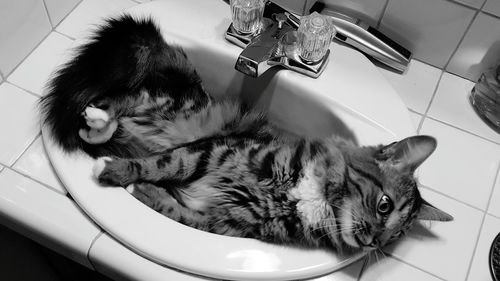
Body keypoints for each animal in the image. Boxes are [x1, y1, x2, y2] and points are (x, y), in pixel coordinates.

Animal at [40, 14, 454, 252]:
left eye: (396, 236)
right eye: (384, 205)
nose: (373, 244)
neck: (307, 198)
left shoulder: (222, 224)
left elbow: (173, 209)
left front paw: (143, 192)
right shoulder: (210, 151)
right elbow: (160, 164)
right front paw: (114, 173)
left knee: (125, 110)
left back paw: (98, 128)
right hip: (179, 105)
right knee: (126, 98)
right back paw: (95, 119)